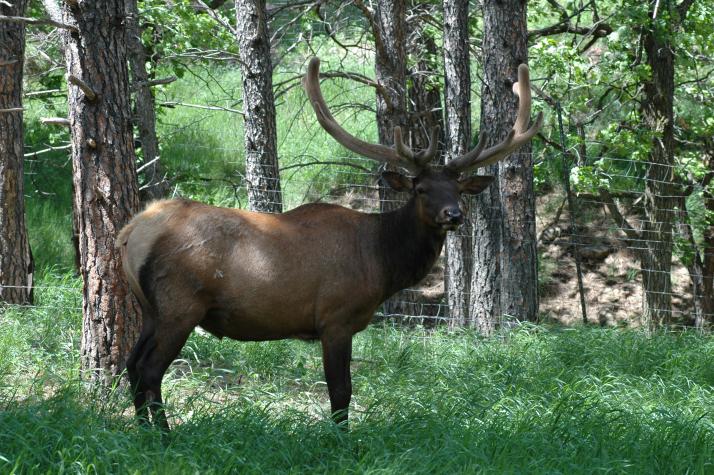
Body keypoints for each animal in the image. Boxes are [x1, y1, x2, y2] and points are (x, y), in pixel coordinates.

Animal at [118, 57, 540, 430]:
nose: (454, 215)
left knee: (131, 365)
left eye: (458, 190)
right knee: (150, 371)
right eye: (421, 189)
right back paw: (164, 436)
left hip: (151, 309)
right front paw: (341, 440)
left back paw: (145, 432)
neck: (382, 262)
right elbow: (341, 392)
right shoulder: (336, 317)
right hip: (180, 304)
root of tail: (132, 232)